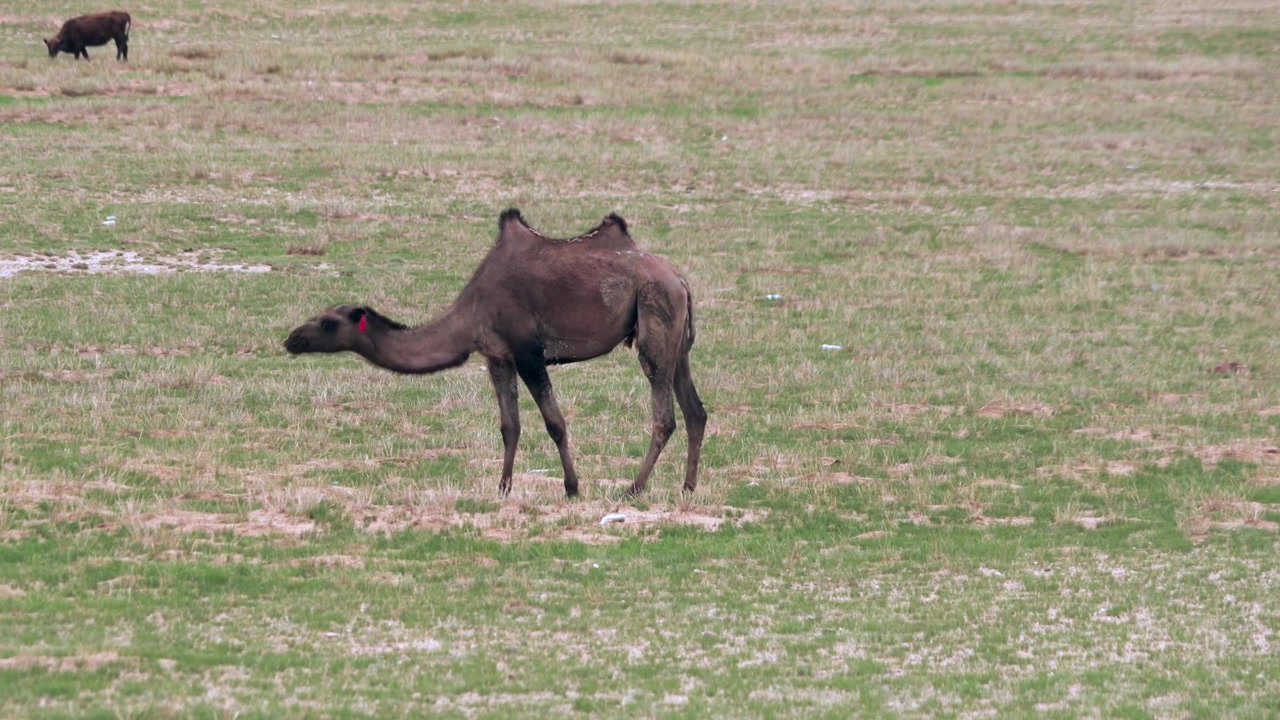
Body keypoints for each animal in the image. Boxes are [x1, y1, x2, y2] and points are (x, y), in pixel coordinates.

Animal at [284, 208, 707, 499]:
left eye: (327, 322)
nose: (292, 339)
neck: (473, 310)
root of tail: (679, 280)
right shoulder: (497, 356)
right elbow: (509, 425)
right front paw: (502, 487)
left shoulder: (527, 353)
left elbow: (555, 423)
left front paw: (572, 487)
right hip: (678, 340)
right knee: (695, 411)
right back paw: (686, 488)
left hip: (654, 312)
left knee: (664, 413)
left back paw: (633, 488)